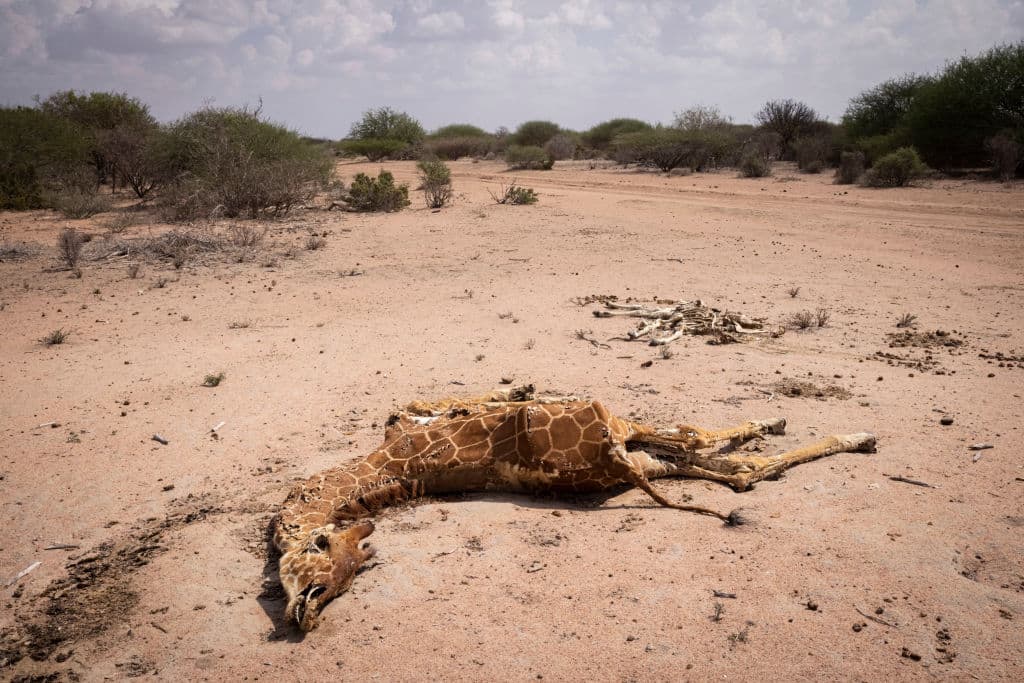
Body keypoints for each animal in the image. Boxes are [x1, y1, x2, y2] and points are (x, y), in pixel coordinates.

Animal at [273, 386, 876, 631]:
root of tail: (614, 458)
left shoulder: (403, 417)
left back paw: (825, 429)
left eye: (342, 570)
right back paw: (853, 435)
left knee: (717, 452)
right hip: (638, 444)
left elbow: (444, 398)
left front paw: (516, 385)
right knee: (727, 460)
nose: (307, 614)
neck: (378, 464)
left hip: (633, 439)